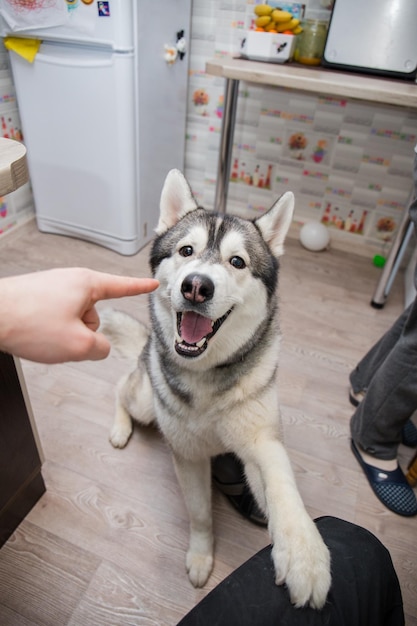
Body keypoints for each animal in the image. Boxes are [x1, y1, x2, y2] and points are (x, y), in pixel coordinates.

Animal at [99, 168, 330, 608]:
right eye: (186, 251)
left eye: (237, 261)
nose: (196, 286)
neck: (206, 373)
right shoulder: (188, 455)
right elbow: (200, 513)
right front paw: (201, 555)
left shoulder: (261, 440)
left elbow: (282, 484)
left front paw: (304, 553)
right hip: (146, 400)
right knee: (122, 386)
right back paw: (119, 426)